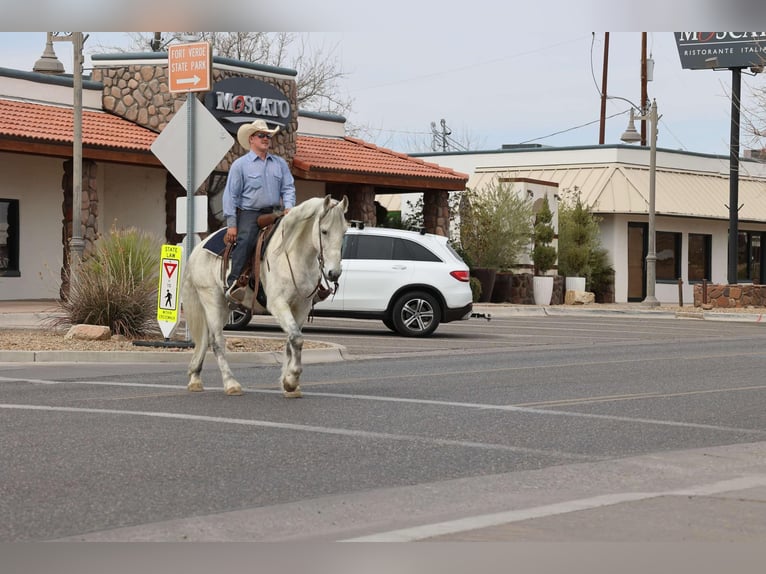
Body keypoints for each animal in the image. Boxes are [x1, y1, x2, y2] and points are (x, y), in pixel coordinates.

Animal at [181, 194, 349, 397]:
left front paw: (289, 384)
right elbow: (296, 338)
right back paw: (231, 383)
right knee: (217, 341)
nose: (334, 273)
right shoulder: (278, 304)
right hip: (211, 299)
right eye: (324, 231)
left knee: (205, 339)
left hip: (226, 305)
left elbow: (292, 340)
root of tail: (197, 249)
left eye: (344, 232)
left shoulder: (302, 306)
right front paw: (291, 380)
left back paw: (195, 378)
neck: (294, 256)